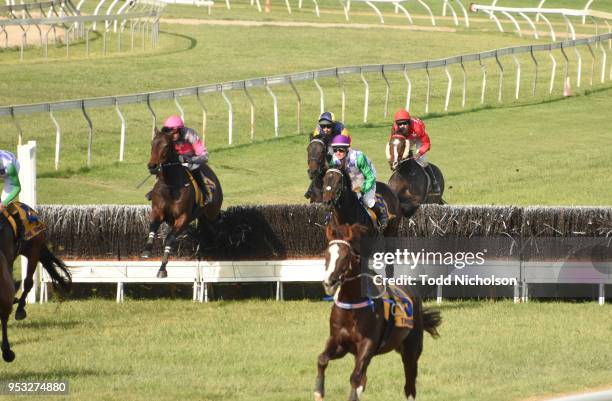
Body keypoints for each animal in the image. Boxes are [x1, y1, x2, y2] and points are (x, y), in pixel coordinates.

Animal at [142, 128, 224, 278]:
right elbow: (152, 228)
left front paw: (162, 268)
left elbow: (169, 239)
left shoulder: (182, 218)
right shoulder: (157, 211)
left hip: (212, 213)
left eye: (166, 146)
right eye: (152, 143)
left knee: (216, 224)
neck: (171, 186)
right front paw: (147, 250)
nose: (152, 166)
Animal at [316, 223, 440, 398]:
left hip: (411, 349)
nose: (329, 282)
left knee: (409, 385)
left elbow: (355, 377)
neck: (352, 307)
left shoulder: (368, 343)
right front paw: (318, 393)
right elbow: (322, 360)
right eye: (326, 254)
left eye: (346, 256)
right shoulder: (339, 342)